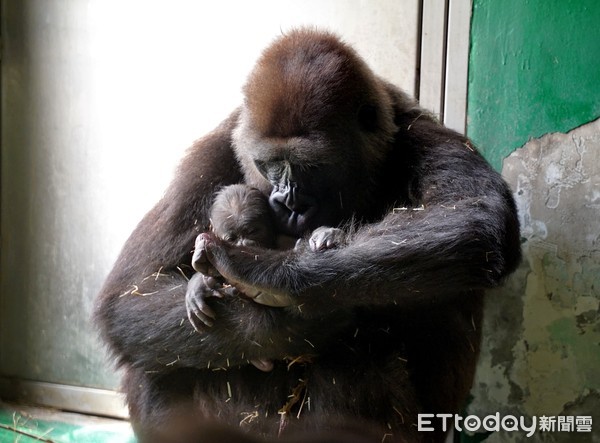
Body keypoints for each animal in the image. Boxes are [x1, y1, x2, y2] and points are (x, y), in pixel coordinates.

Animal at [95, 28, 520, 443]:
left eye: (310, 167)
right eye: (268, 165)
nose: (288, 203)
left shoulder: (420, 131)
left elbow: (475, 216)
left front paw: (272, 275)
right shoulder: (216, 148)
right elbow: (130, 292)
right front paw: (278, 326)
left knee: (362, 348)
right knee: (152, 354)